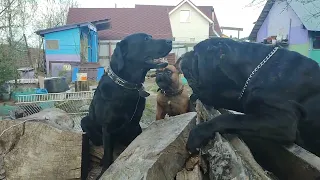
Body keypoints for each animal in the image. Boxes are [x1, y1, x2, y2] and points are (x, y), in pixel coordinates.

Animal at [81, 33, 172, 178]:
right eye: (146, 39)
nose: (170, 41)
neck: (126, 88)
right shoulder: (107, 128)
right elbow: (107, 154)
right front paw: (103, 172)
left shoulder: (134, 125)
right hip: (84, 121)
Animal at [180, 37, 320, 156]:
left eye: (195, 52)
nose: (183, 56)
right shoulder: (242, 99)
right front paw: (195, 96)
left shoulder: (283, 120)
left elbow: (230, 118)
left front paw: (198, 133)